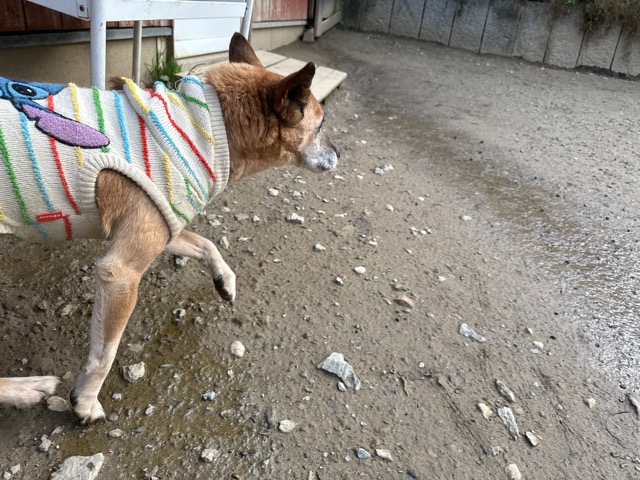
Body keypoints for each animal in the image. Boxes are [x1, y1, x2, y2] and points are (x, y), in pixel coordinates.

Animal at [0, 33, 338, 423]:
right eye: (321, 125)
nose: (340, 154)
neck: (209, 127)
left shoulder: (166, 225)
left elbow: (207, 244)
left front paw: (225, 280)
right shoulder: (121, 273)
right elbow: (105, 354)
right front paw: (85, 400)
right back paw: (26, 389)